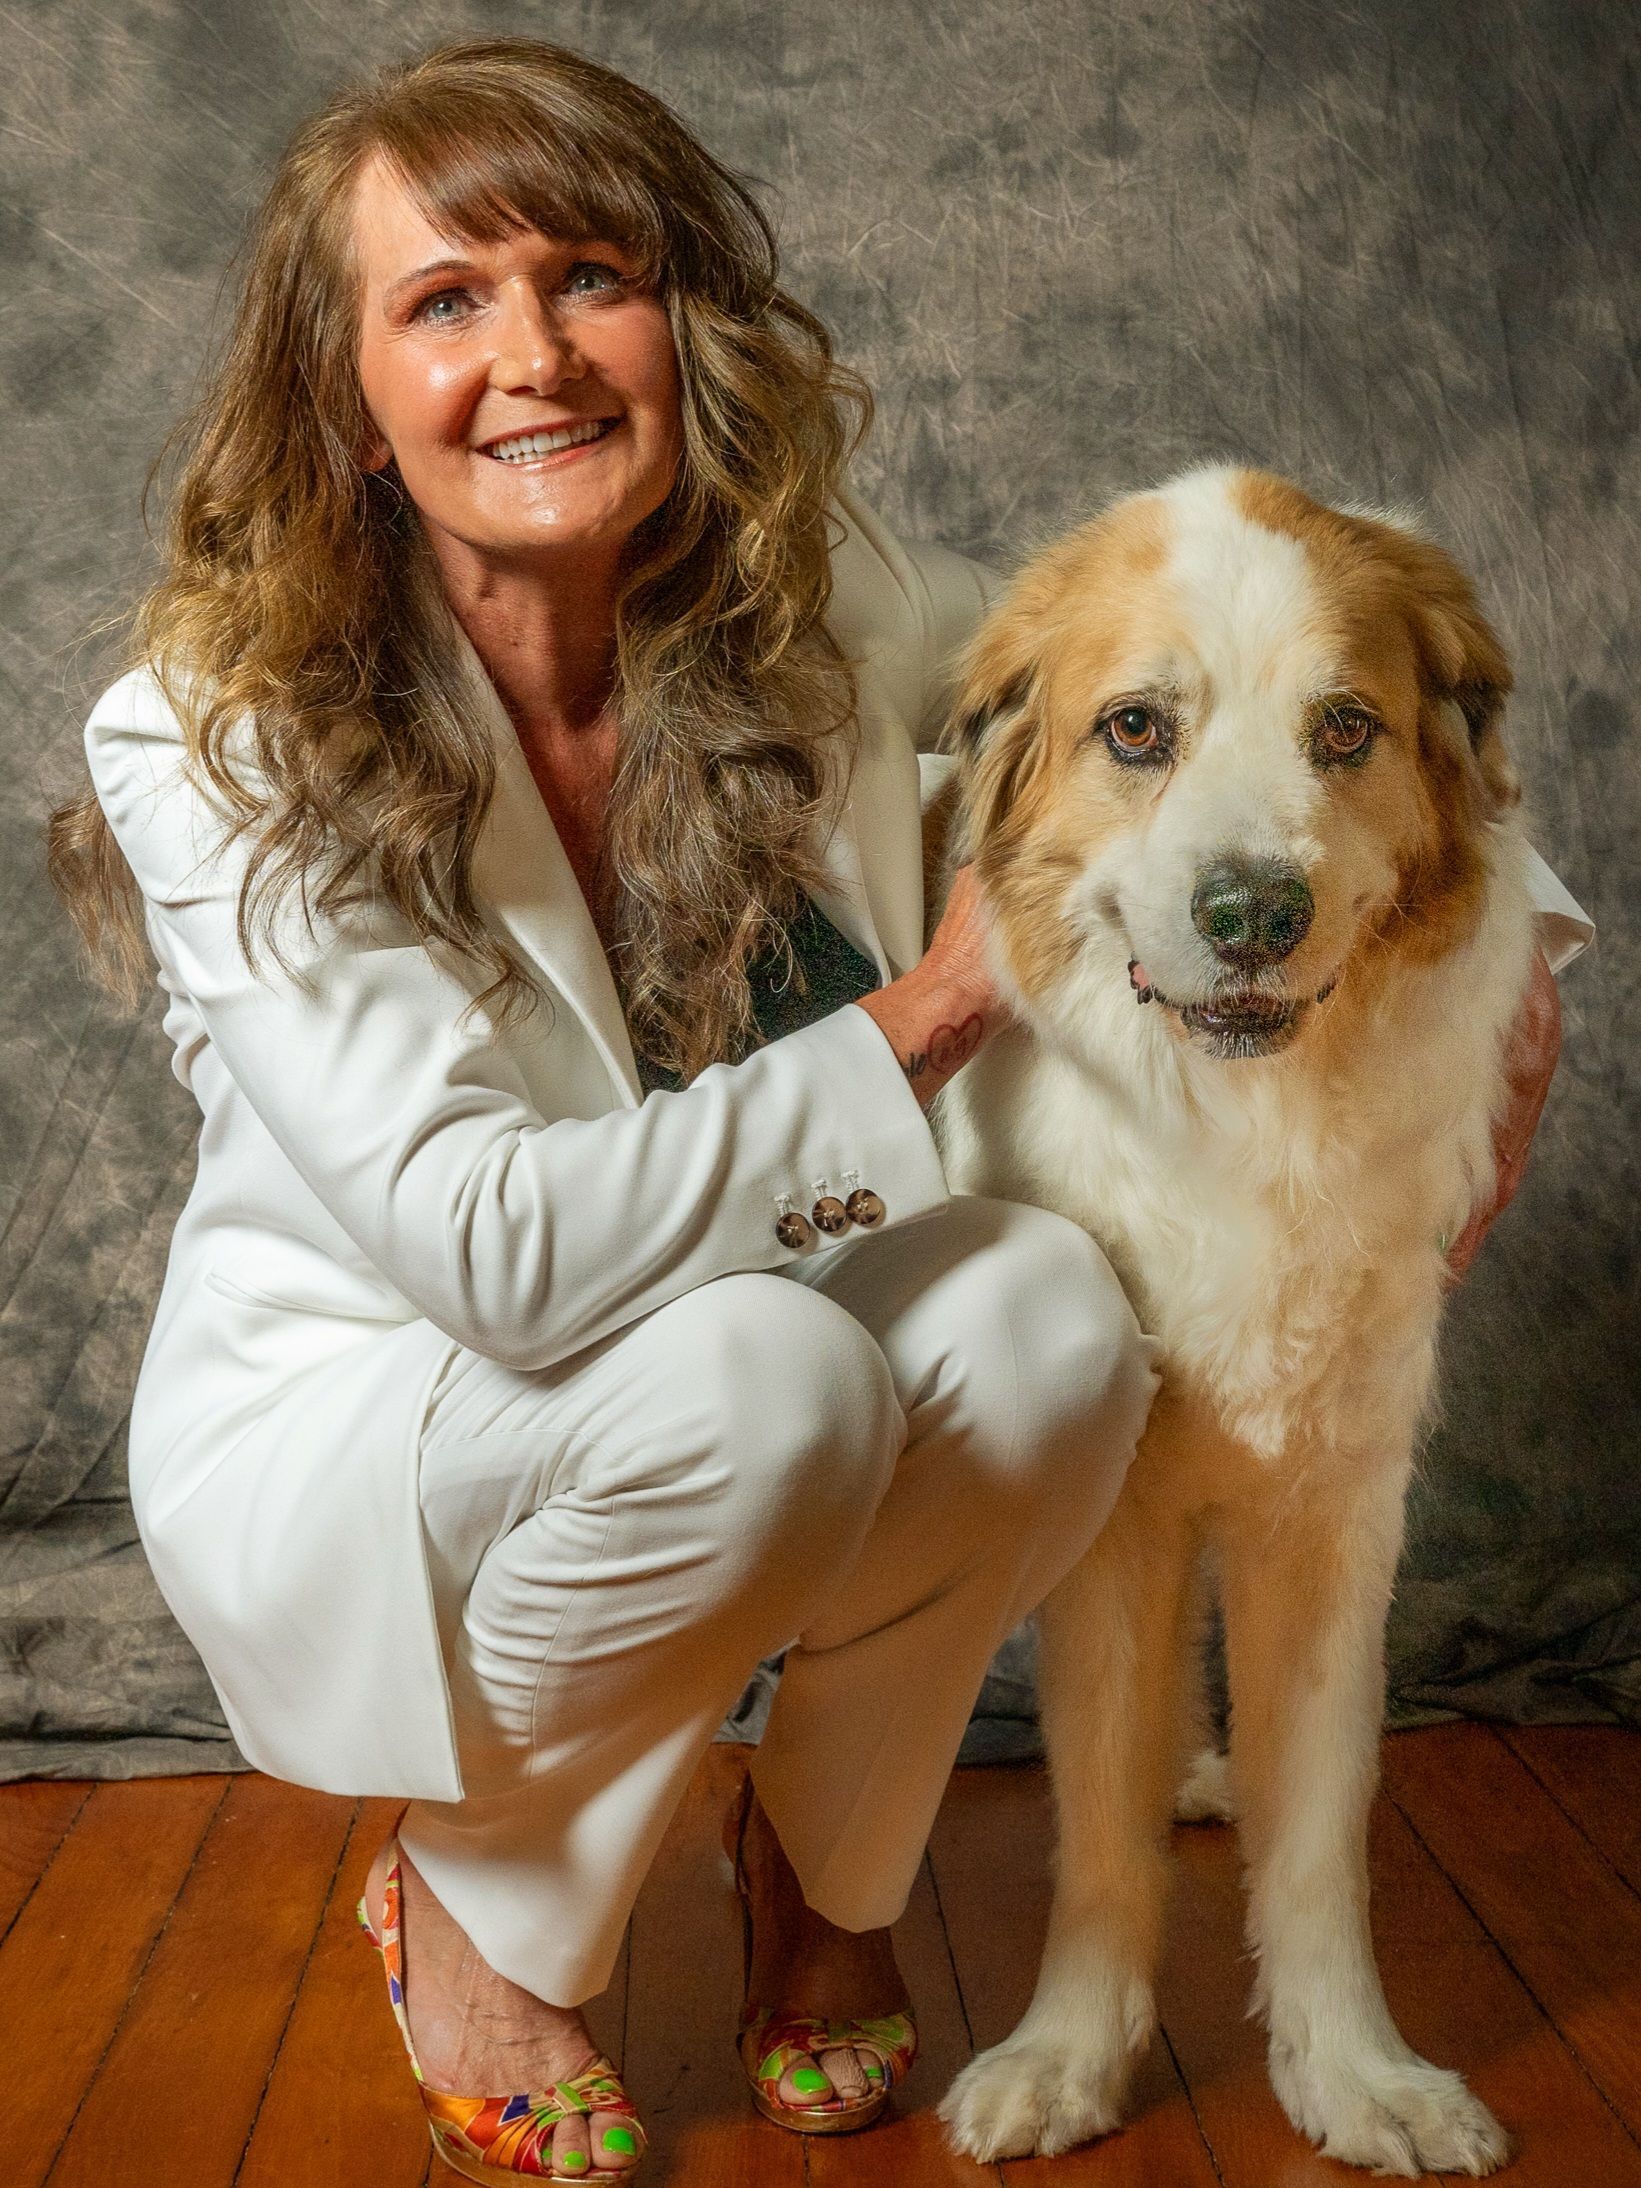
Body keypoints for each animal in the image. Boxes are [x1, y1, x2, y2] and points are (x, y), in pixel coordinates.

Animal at [932, 461, 1540, 2170]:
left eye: (1345, 728)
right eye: (1137, 729)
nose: (1255, 912)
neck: (1242, 1129)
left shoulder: (1335, 1510)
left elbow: (1322, 1835)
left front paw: (1354, 2076)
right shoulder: (1116, 1523)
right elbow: (1094, 1832)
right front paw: (1069, 2055)